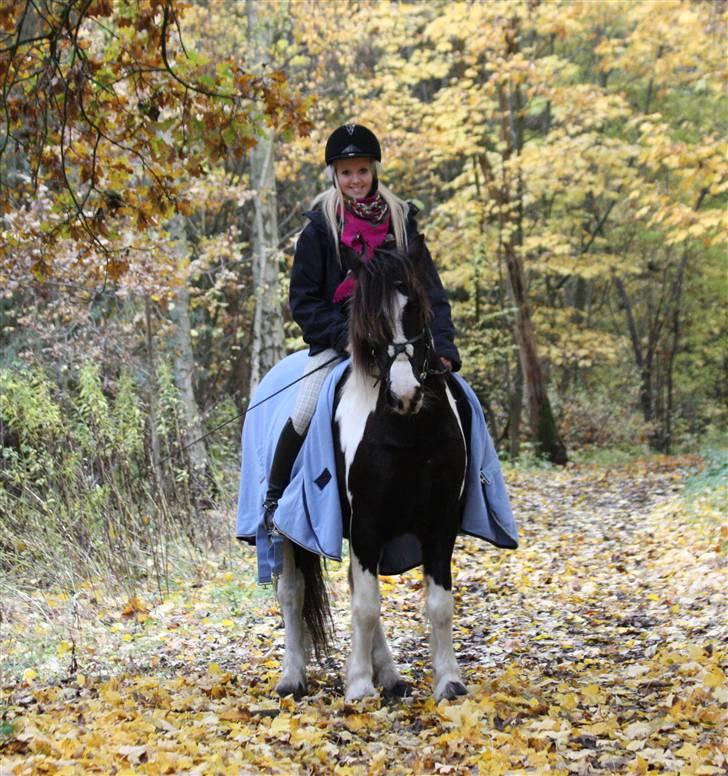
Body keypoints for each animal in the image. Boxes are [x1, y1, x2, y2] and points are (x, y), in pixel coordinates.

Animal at [276, 238, 470, 704]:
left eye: (415, 306)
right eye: (367, 318)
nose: (405, 393)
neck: (407, 431)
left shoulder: (440, 523)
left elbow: (439, 605)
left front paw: (448, 681)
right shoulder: (366, 523)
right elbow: (365, 606)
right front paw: (360, 686)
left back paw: (392, 677)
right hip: (287, 532)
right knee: (292, 595)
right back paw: (293, 677)